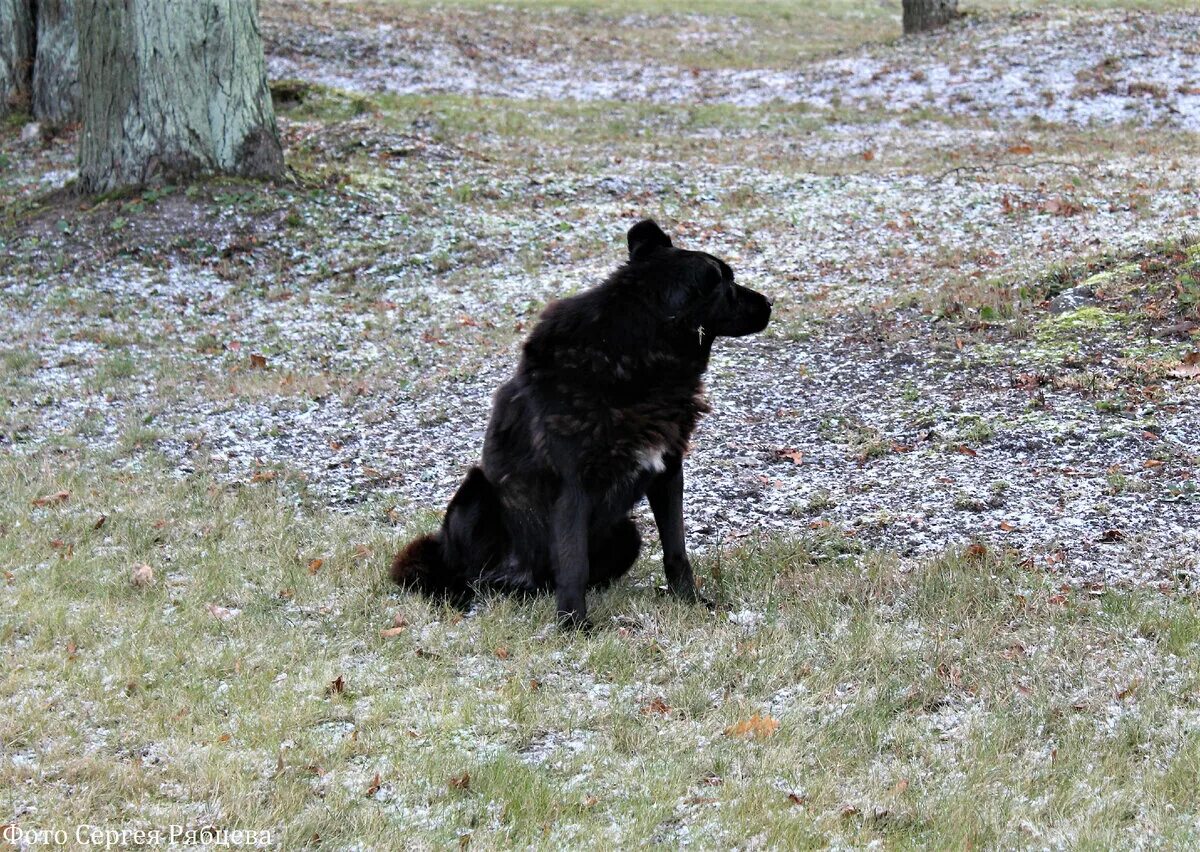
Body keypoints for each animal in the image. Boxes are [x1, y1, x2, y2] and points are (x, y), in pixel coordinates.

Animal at [388, 220, 772, 628]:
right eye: (726, 284)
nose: (769, 304)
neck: (635, 354)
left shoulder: (668, 473)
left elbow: (676, 551)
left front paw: (689, 601)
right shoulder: (572, 487)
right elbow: (574, 564)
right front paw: (573, 627)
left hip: (626, 532)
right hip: (476, 496)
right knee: (463, 574)